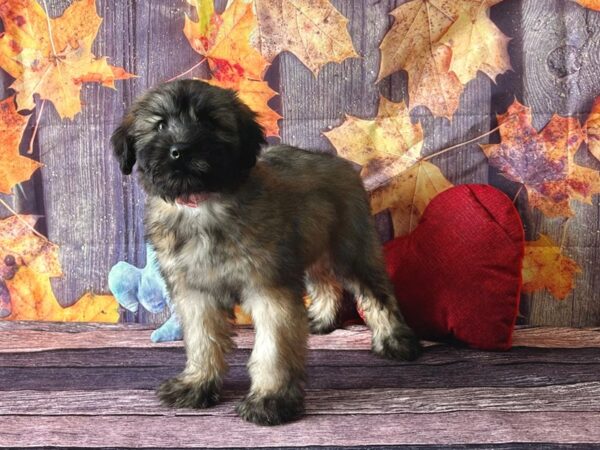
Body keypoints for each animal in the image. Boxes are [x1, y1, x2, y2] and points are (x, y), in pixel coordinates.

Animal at [112, 78, 422, 426]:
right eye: (160, 124)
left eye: (209, 122)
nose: (180, 151)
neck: (204, 205)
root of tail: (339, 162)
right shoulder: (195, 293)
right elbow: (202, 340)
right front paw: (197, 383)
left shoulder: (269, 289)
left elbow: (272, 348)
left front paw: (271, 399)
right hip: (312, 248)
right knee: (325, 283)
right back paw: (321, 319)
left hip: (351, 249)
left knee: (378, 295)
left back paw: (395, 340)